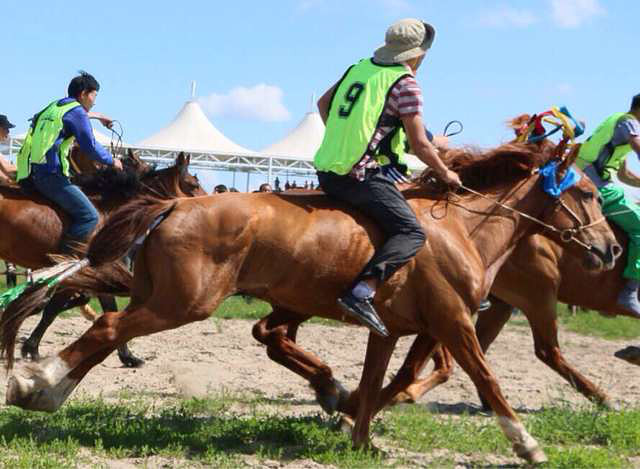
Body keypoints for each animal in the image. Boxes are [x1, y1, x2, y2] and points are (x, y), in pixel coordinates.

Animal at [0, 150, 205, 366]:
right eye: (193, 184)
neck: (107, 211)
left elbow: (105, 309)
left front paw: (128, 356)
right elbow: (52, 310)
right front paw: (31, 348)